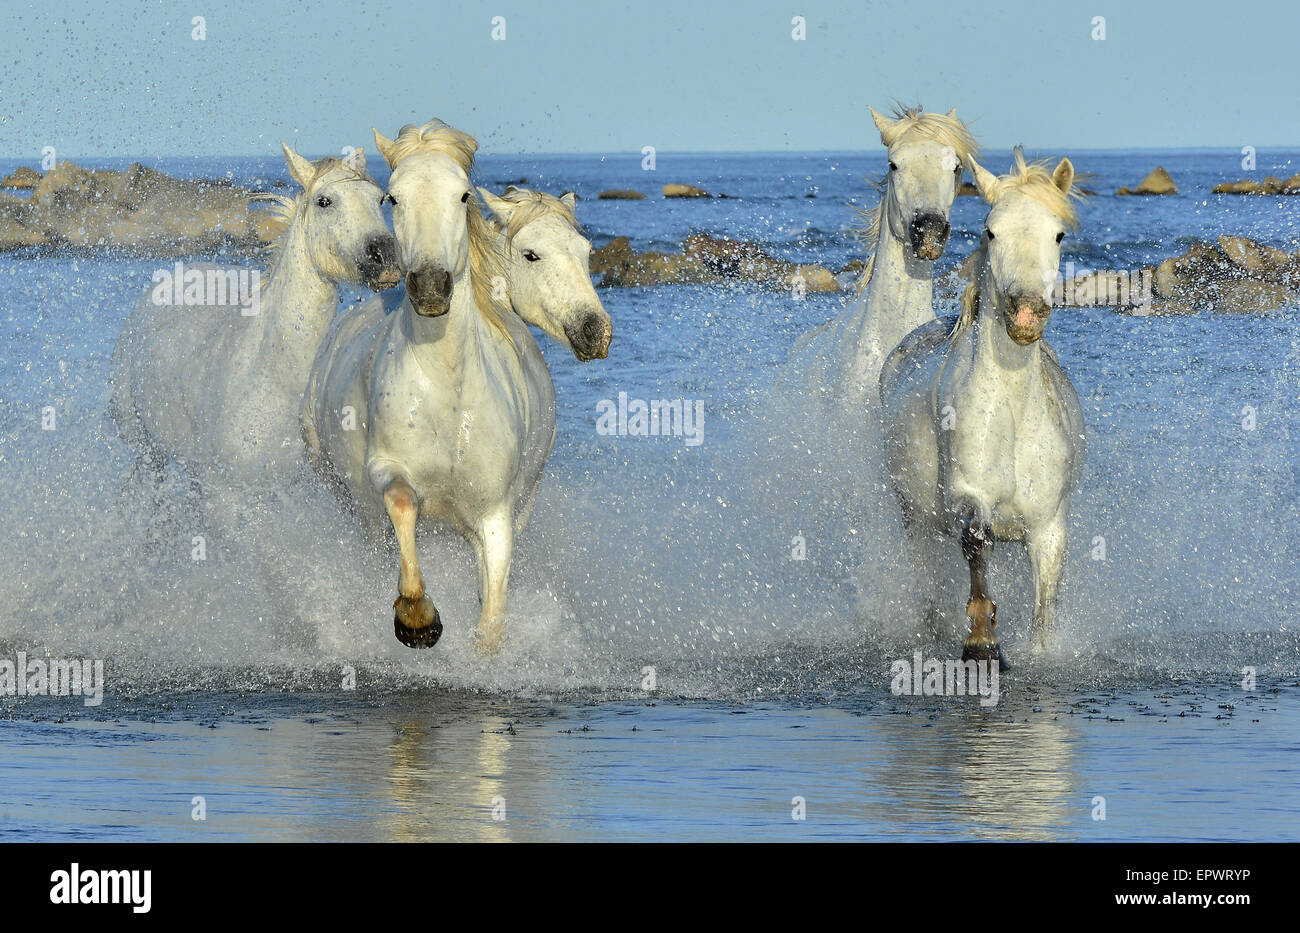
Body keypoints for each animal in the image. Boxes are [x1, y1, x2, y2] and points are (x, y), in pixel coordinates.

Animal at [301, 118, 561, 657]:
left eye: (463, 195)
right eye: (392, 198)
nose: (430, 288)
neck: (449, 394)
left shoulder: (496, 517)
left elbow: (491, 619)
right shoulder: (386, 472)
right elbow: (403, 504)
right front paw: (417, 620)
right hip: (360, 512)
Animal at [878, 150, 1081, 670]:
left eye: (1058, 233)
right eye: (991, 231)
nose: (1025, 312)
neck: (1011, 410)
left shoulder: (1049, 528)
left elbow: (1045, 605)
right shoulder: (966, 498)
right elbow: (975, 542)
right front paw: (982, 643)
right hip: (914, 517)